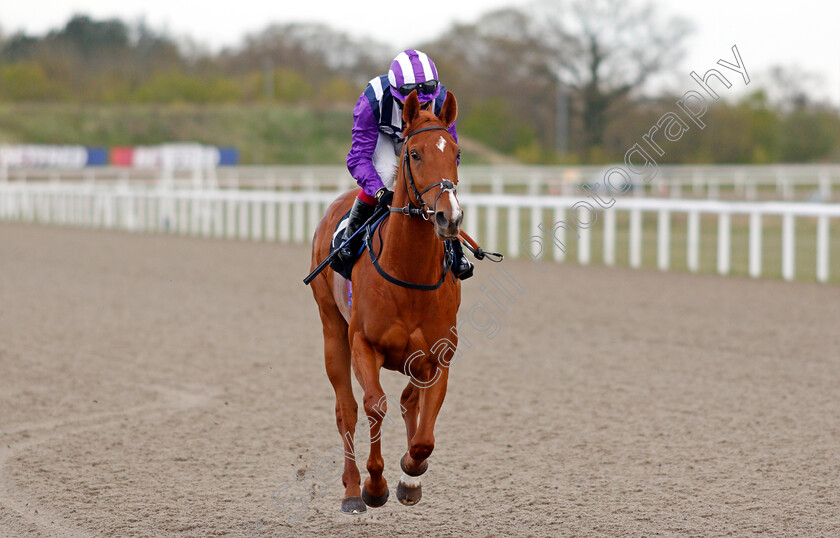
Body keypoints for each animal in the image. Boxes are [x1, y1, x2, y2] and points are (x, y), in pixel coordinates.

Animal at [308, 91, 462, 510]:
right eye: (415, 154)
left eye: (456, 153)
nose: (449, 217)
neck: (409, 275)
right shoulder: (364, 343)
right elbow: (375, 404)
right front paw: (374, 486)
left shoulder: (438, 354)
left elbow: (424, 430)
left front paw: (411, 473)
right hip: (331, 328)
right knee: (346, 409)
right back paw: (351, 491)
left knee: (408, 399)